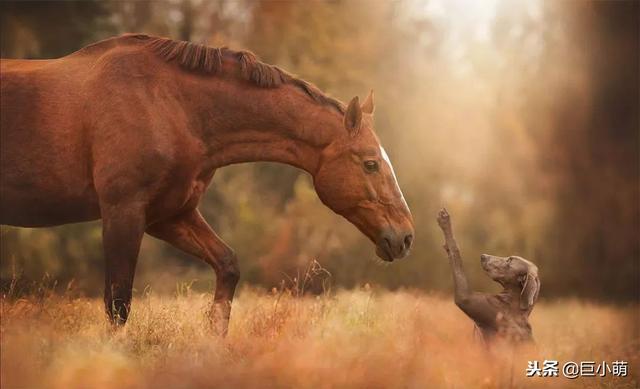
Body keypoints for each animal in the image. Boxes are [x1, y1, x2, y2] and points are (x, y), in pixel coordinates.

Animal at [0, 34, 416, 334]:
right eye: (370, 163)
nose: (406, 236)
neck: (170, 104)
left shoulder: (168, 216)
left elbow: (228, 266)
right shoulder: (123, 212)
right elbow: (118, 304)